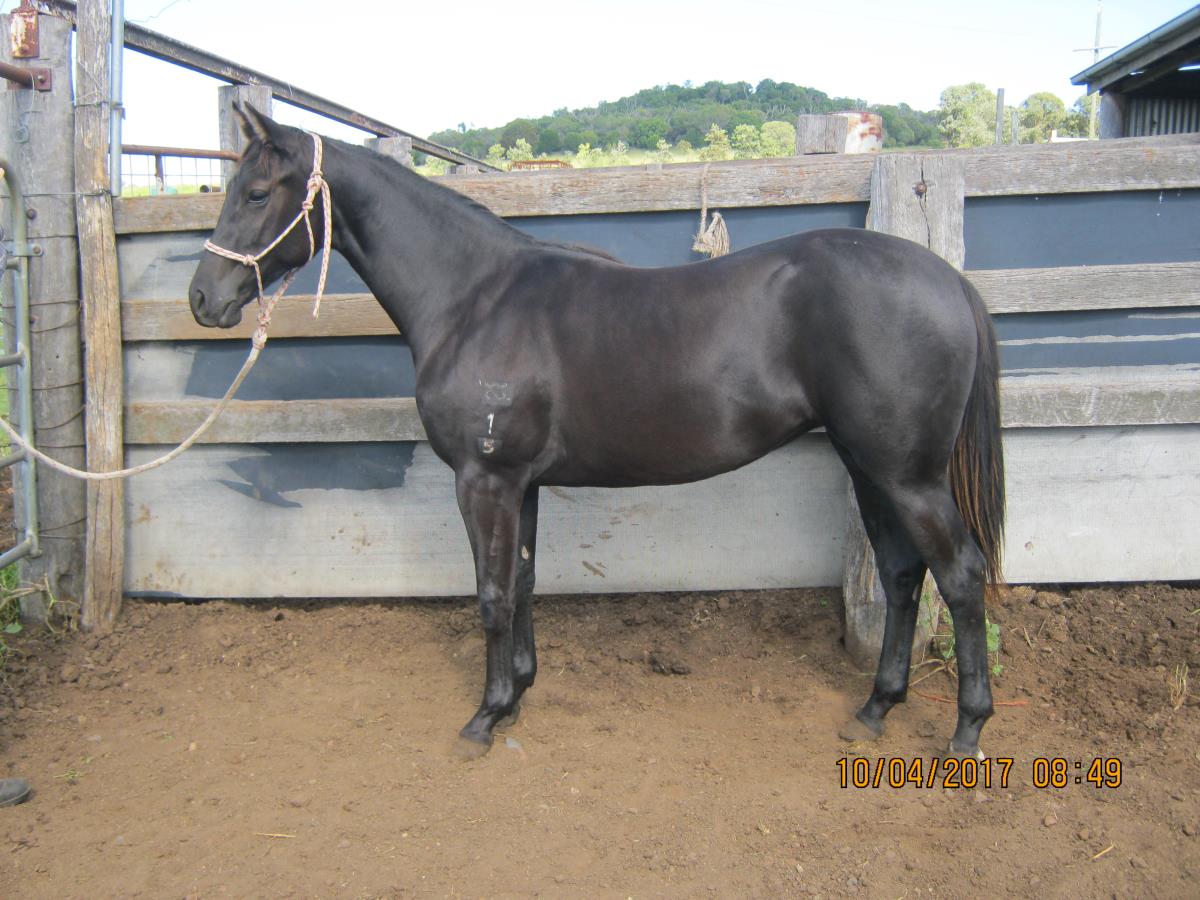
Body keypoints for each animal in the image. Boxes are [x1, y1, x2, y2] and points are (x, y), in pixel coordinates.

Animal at [188, 106, 1005, 760]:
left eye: (256, 193)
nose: (203, 299)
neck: (475, 299)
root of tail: (949, 280)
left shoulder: (483, 481)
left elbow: (491, 593)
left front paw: (484, 718)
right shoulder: (520, 483)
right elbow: (521, 582)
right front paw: (518, 693)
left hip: (907, 477)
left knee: (961, 576)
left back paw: (966, 731)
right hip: (869, 467)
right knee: (902, 575)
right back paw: (874, 710)